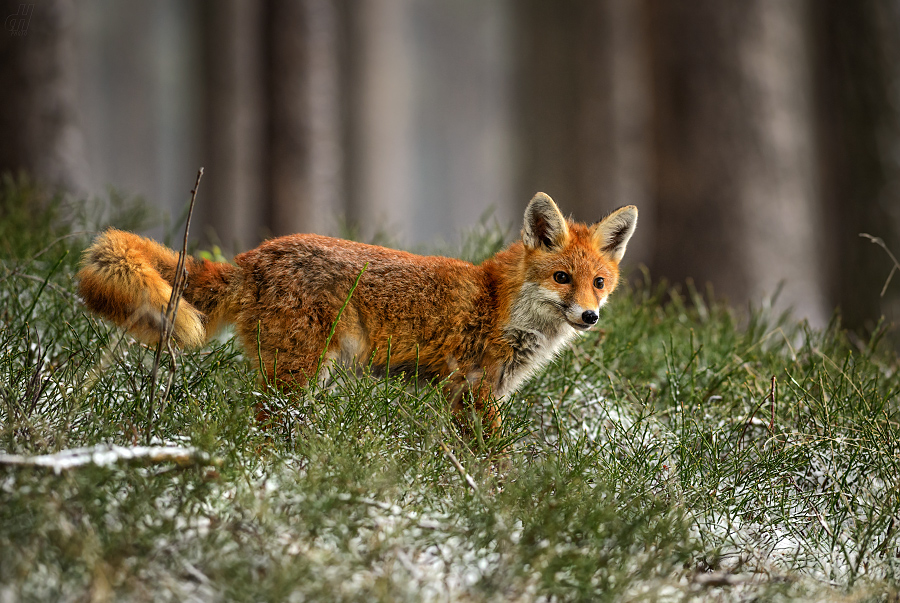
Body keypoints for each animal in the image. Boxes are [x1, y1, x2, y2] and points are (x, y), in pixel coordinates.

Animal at [79, 193, 640, 434]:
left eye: (598, 283)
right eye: (562, 278)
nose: (589, 316)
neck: (503, 304)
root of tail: (253, 256)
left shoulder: (466, 394)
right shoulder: (476, 391)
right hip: (296, 375)